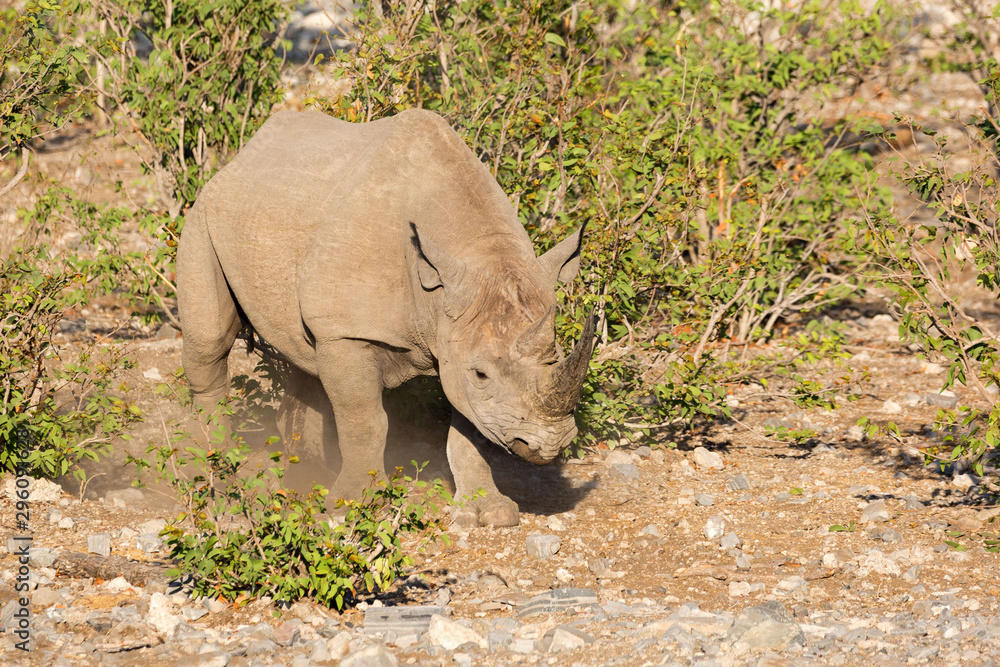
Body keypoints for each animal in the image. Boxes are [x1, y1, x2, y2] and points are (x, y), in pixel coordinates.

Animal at [176, 108, 595, 527]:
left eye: (556, 359)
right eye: (481, 374)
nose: (548, 444)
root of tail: (238, 159)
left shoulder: (453, 340)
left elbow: (470, 427)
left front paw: (489, 512)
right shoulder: (349, 333)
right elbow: (366, 422)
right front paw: (355, 506)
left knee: (303, 357)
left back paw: (307, 478)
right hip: (202, 216)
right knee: (211, 342)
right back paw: (217, 479)